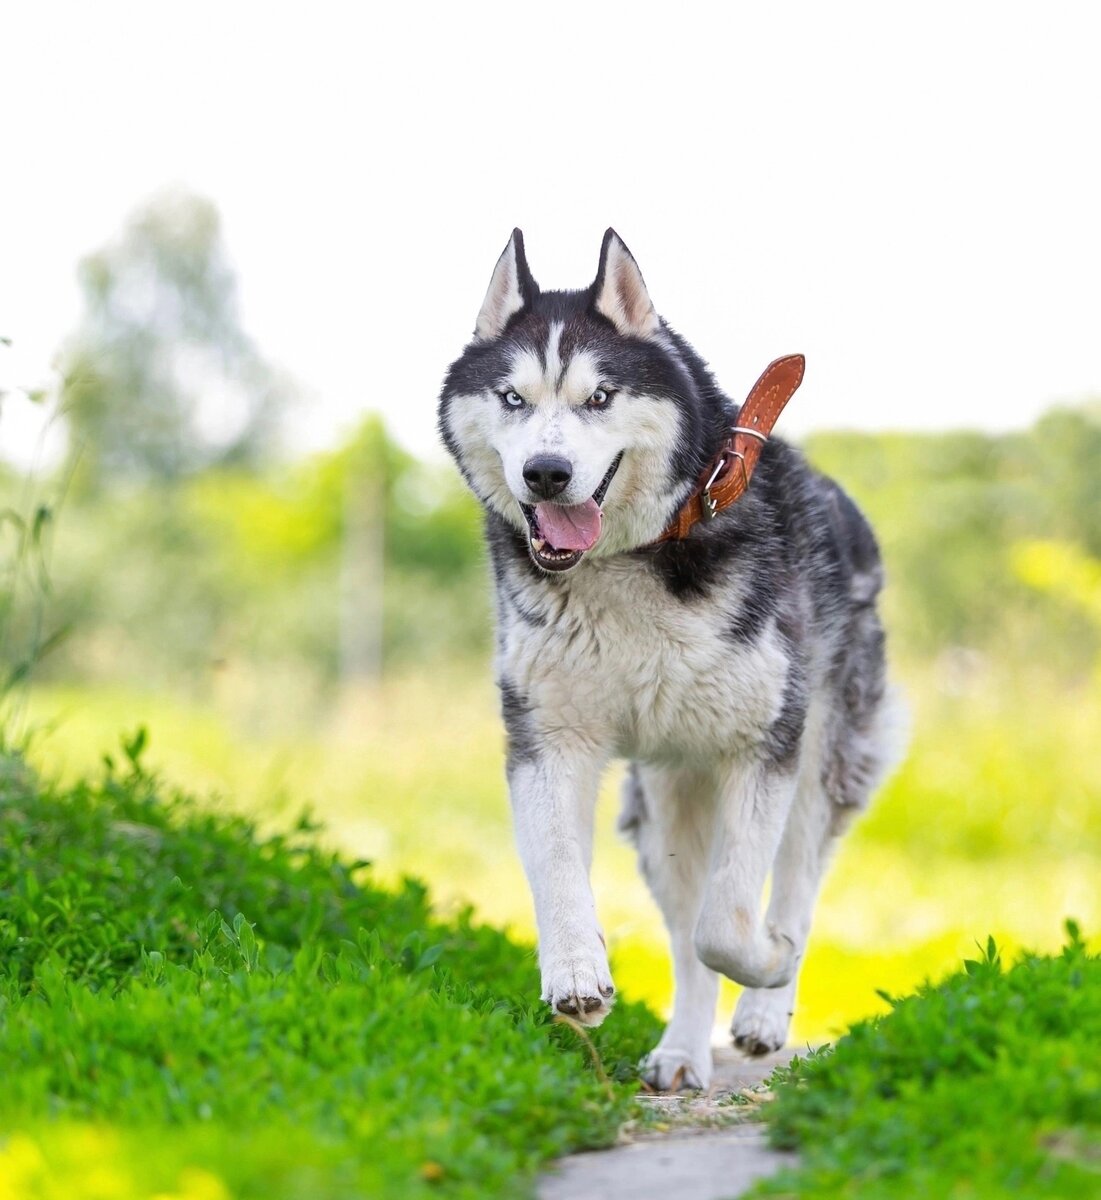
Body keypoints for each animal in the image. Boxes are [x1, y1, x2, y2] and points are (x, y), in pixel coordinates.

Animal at [434, 229, 901, 1094]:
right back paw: (684, 1051)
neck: (631, 561)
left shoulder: (762, 745)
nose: (545, 472)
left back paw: (764, 1011)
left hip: (818, 751)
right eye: (513, 398)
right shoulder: (547, 739)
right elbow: (563, 872)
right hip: (663, 805)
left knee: (792, 882)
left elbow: (732, 920)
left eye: (599, 398)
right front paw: (575, 973)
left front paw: (767, 965)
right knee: (685, 939)